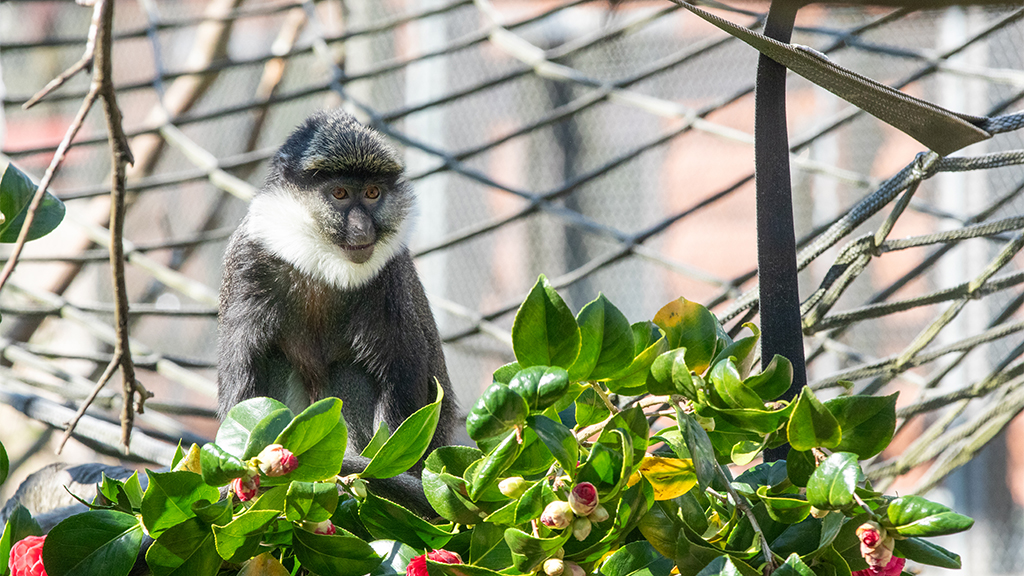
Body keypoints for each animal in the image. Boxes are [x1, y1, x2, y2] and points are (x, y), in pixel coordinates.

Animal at [217, 109, 457, 513]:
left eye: (373, 193)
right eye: (340, 193)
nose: (361, 230)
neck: (319, 257)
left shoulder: (388, 281)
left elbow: (403, 374)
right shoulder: (248, 264)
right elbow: (240, 371)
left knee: (350, 372)